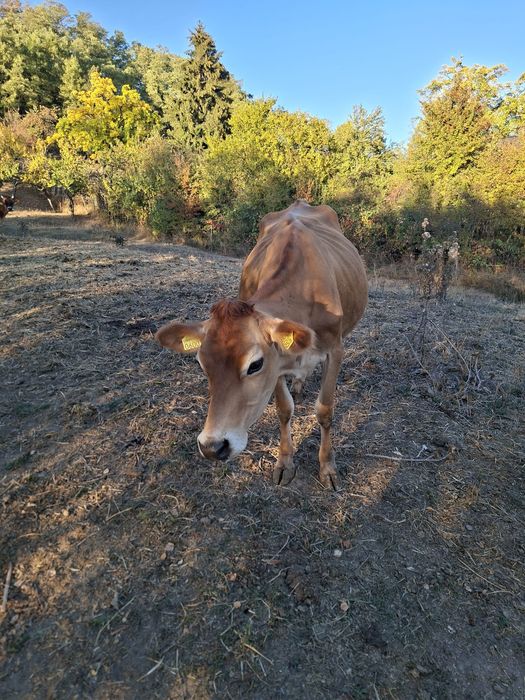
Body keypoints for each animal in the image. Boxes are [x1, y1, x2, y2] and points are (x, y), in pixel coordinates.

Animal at [155, 200, 368, 490]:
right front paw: (285, 462)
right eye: (201, 364)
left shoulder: (334, 350)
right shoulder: (278, 364)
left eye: (254, 365)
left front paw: (327, 467)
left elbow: (324, 410)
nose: (212, 447)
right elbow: (284, 409)